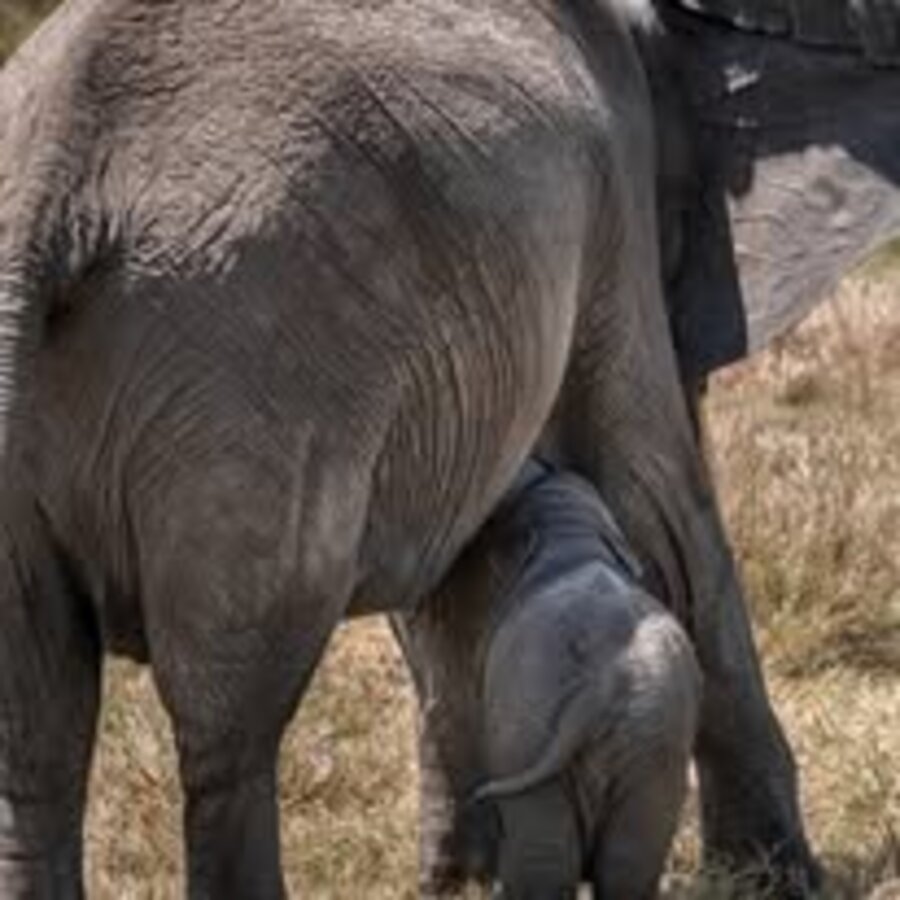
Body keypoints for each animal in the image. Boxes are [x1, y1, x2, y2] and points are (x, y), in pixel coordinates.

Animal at [394, 460, 701, 899]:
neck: (572, 536)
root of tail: (598, 691)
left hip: (531, 731)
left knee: (543, 862)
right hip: (651, 747)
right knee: (628, 864)